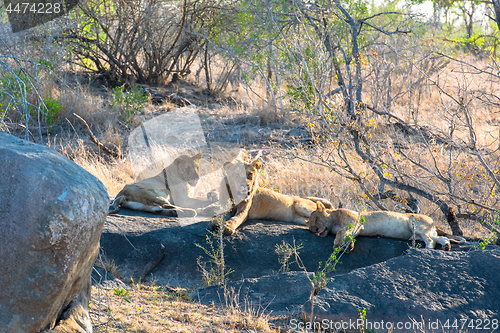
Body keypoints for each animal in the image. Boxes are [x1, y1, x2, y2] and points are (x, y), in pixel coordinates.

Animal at [306, 201, 466, 250]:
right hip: (420, 233)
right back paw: (446, 247)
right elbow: (347, 235)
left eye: (315, 219)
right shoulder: (356, 229)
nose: (313, 231)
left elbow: (341, 233)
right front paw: (348, 245)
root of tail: (433, 222)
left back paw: (426, 249)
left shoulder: (356, 223)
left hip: (416, 224)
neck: (333, 221)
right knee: (442, 239)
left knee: (431, 241)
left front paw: (338, 245)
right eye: (309, 226)